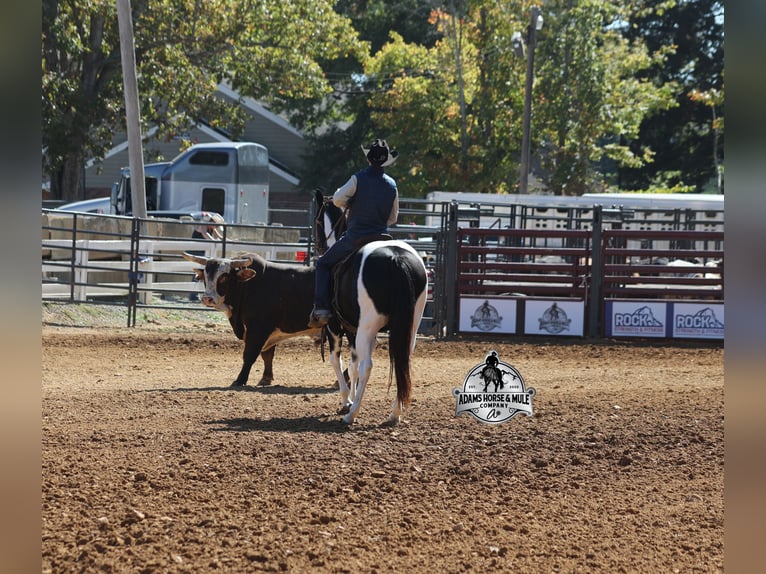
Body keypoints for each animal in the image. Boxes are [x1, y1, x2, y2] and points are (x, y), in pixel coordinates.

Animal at [313, 189, 428, 425]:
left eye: (316, 220)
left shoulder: (337, 327)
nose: (318, 246)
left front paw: (346, 401)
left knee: (367, 365)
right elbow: (353, 364)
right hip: (410, 326)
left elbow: (339, 361)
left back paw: (352, 414)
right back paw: (395, 413)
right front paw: (350, 398)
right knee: (403, 360)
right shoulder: (355, 330)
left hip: (366, 327)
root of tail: (396, 258)